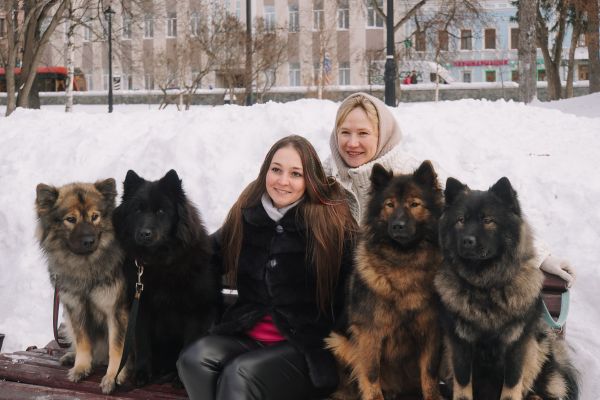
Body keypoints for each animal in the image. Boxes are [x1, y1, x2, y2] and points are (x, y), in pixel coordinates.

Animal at [112, 170, 220, 386]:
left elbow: (187, 346)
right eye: (138, 210)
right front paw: (142, 373)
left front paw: (180, 378)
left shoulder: (197, 310)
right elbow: (143, 343)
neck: (160, 263)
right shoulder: (141, 307)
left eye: (161, 211)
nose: (144, 234)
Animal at [328, 160, 446, 400]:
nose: (398, 225)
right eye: (389, 205)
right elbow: (371, 374)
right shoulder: (369, 334)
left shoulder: (431, 330)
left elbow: (429, 373)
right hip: (339, 342)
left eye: (414, 204)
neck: (403, 261)